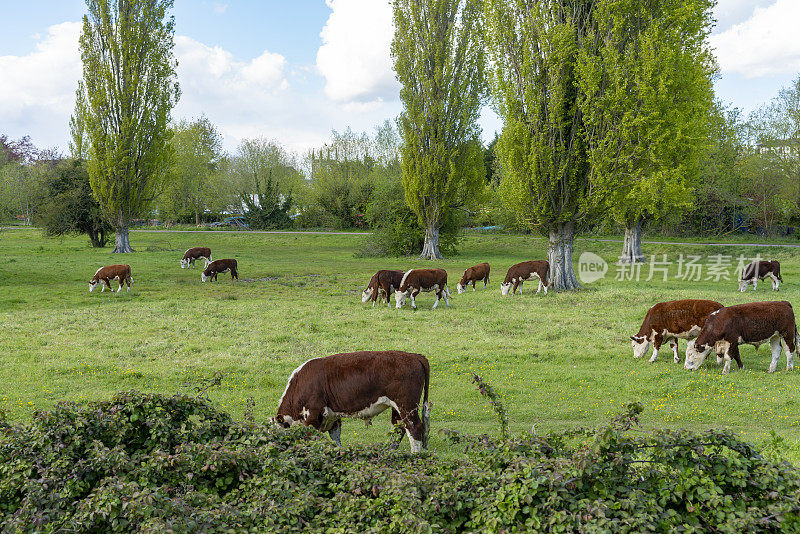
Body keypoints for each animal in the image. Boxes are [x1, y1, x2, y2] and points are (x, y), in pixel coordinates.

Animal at [274, 354, 432, 454]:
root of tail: (414, 356)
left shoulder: (312, 415)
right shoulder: (332, 416)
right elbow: (336, 438)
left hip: (406, 405)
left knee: (414, 428)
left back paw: (414, 455)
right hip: (397, 408)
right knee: (398, 429)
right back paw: (390, 452)